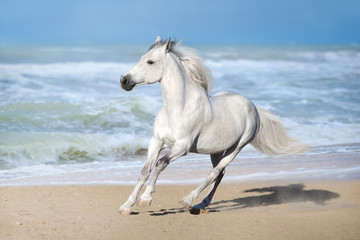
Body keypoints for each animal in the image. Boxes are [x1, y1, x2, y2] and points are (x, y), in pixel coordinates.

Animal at [119, 36, 310, 216]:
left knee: (216, 172)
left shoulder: (182, 147)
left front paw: (145, 199)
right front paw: (126, 206)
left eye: (150, 61)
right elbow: (145, 171)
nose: (124, 80)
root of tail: (253, 107)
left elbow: (160, 164)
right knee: (220, 174)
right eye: (142, 57)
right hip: (216, 150)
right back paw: (200, 204)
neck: (178, 109)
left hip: (236, 148)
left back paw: (189, 200)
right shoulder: (156, 142)